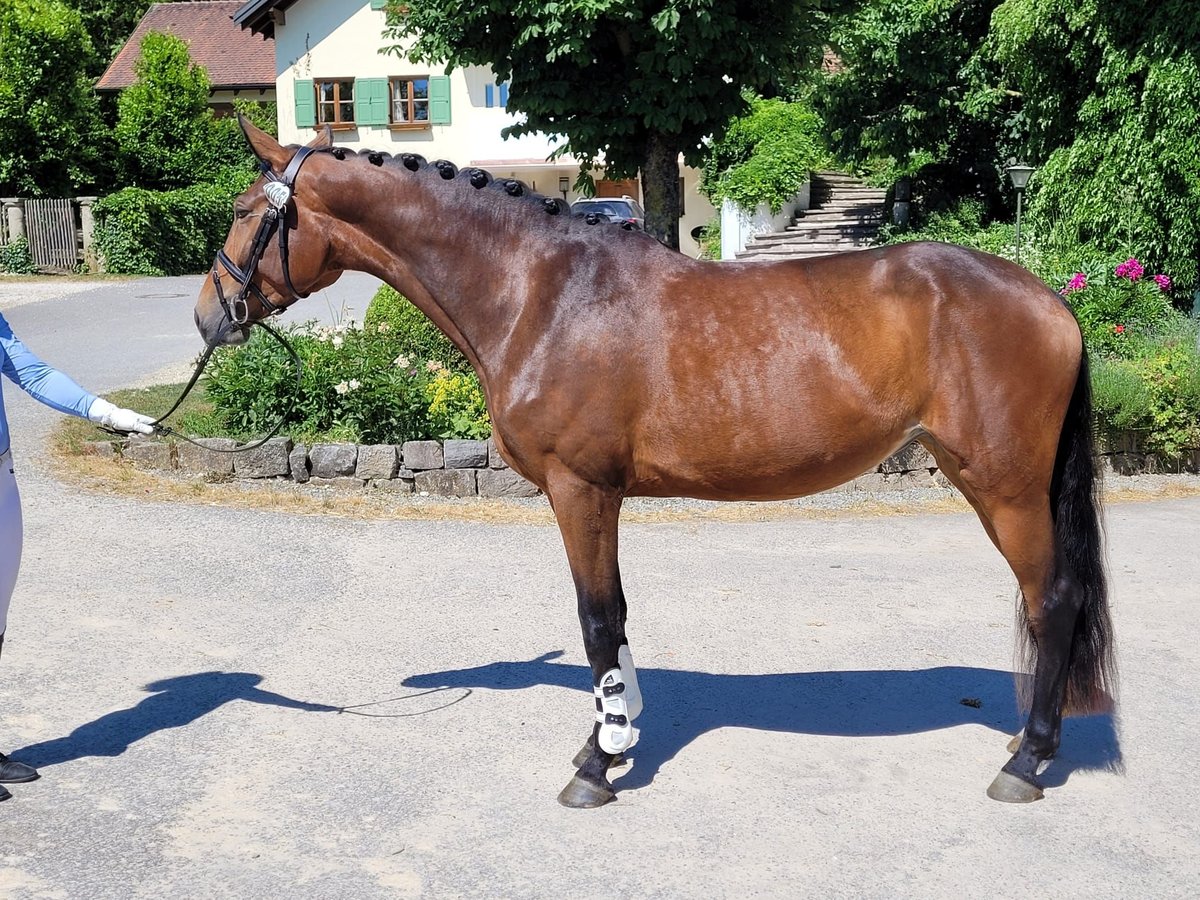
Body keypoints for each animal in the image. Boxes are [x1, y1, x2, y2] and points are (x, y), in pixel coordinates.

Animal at [194, 121, 1113, 811]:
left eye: (242, 210)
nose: (209, 315)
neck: (541, 292)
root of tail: (1052, 299)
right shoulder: (600, 495)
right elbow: (619, 617)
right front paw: (616, 733)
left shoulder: (580, 489)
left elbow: (597, 618)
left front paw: (600, 764)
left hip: (1004, 486)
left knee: (1053, 598)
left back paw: (1027, 761)